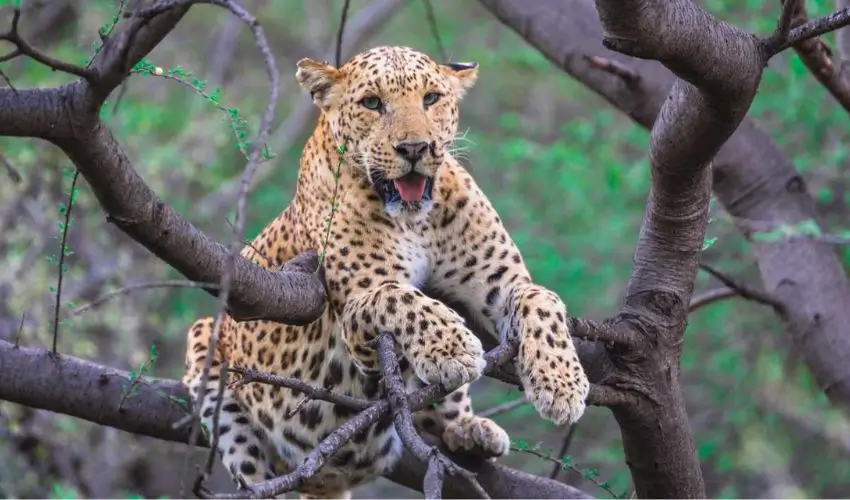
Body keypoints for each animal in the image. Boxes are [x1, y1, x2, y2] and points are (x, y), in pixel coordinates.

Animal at [182, 45, 590, 499]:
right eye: (372, 103)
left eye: (431, 98)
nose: (415, 148)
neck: (417, 221)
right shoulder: (359, 313)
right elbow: (402, 297)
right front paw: (454, 348)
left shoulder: (504, 285)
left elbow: (542, 299)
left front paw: (561, 385)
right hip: (208, 342)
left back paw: (470, 430)